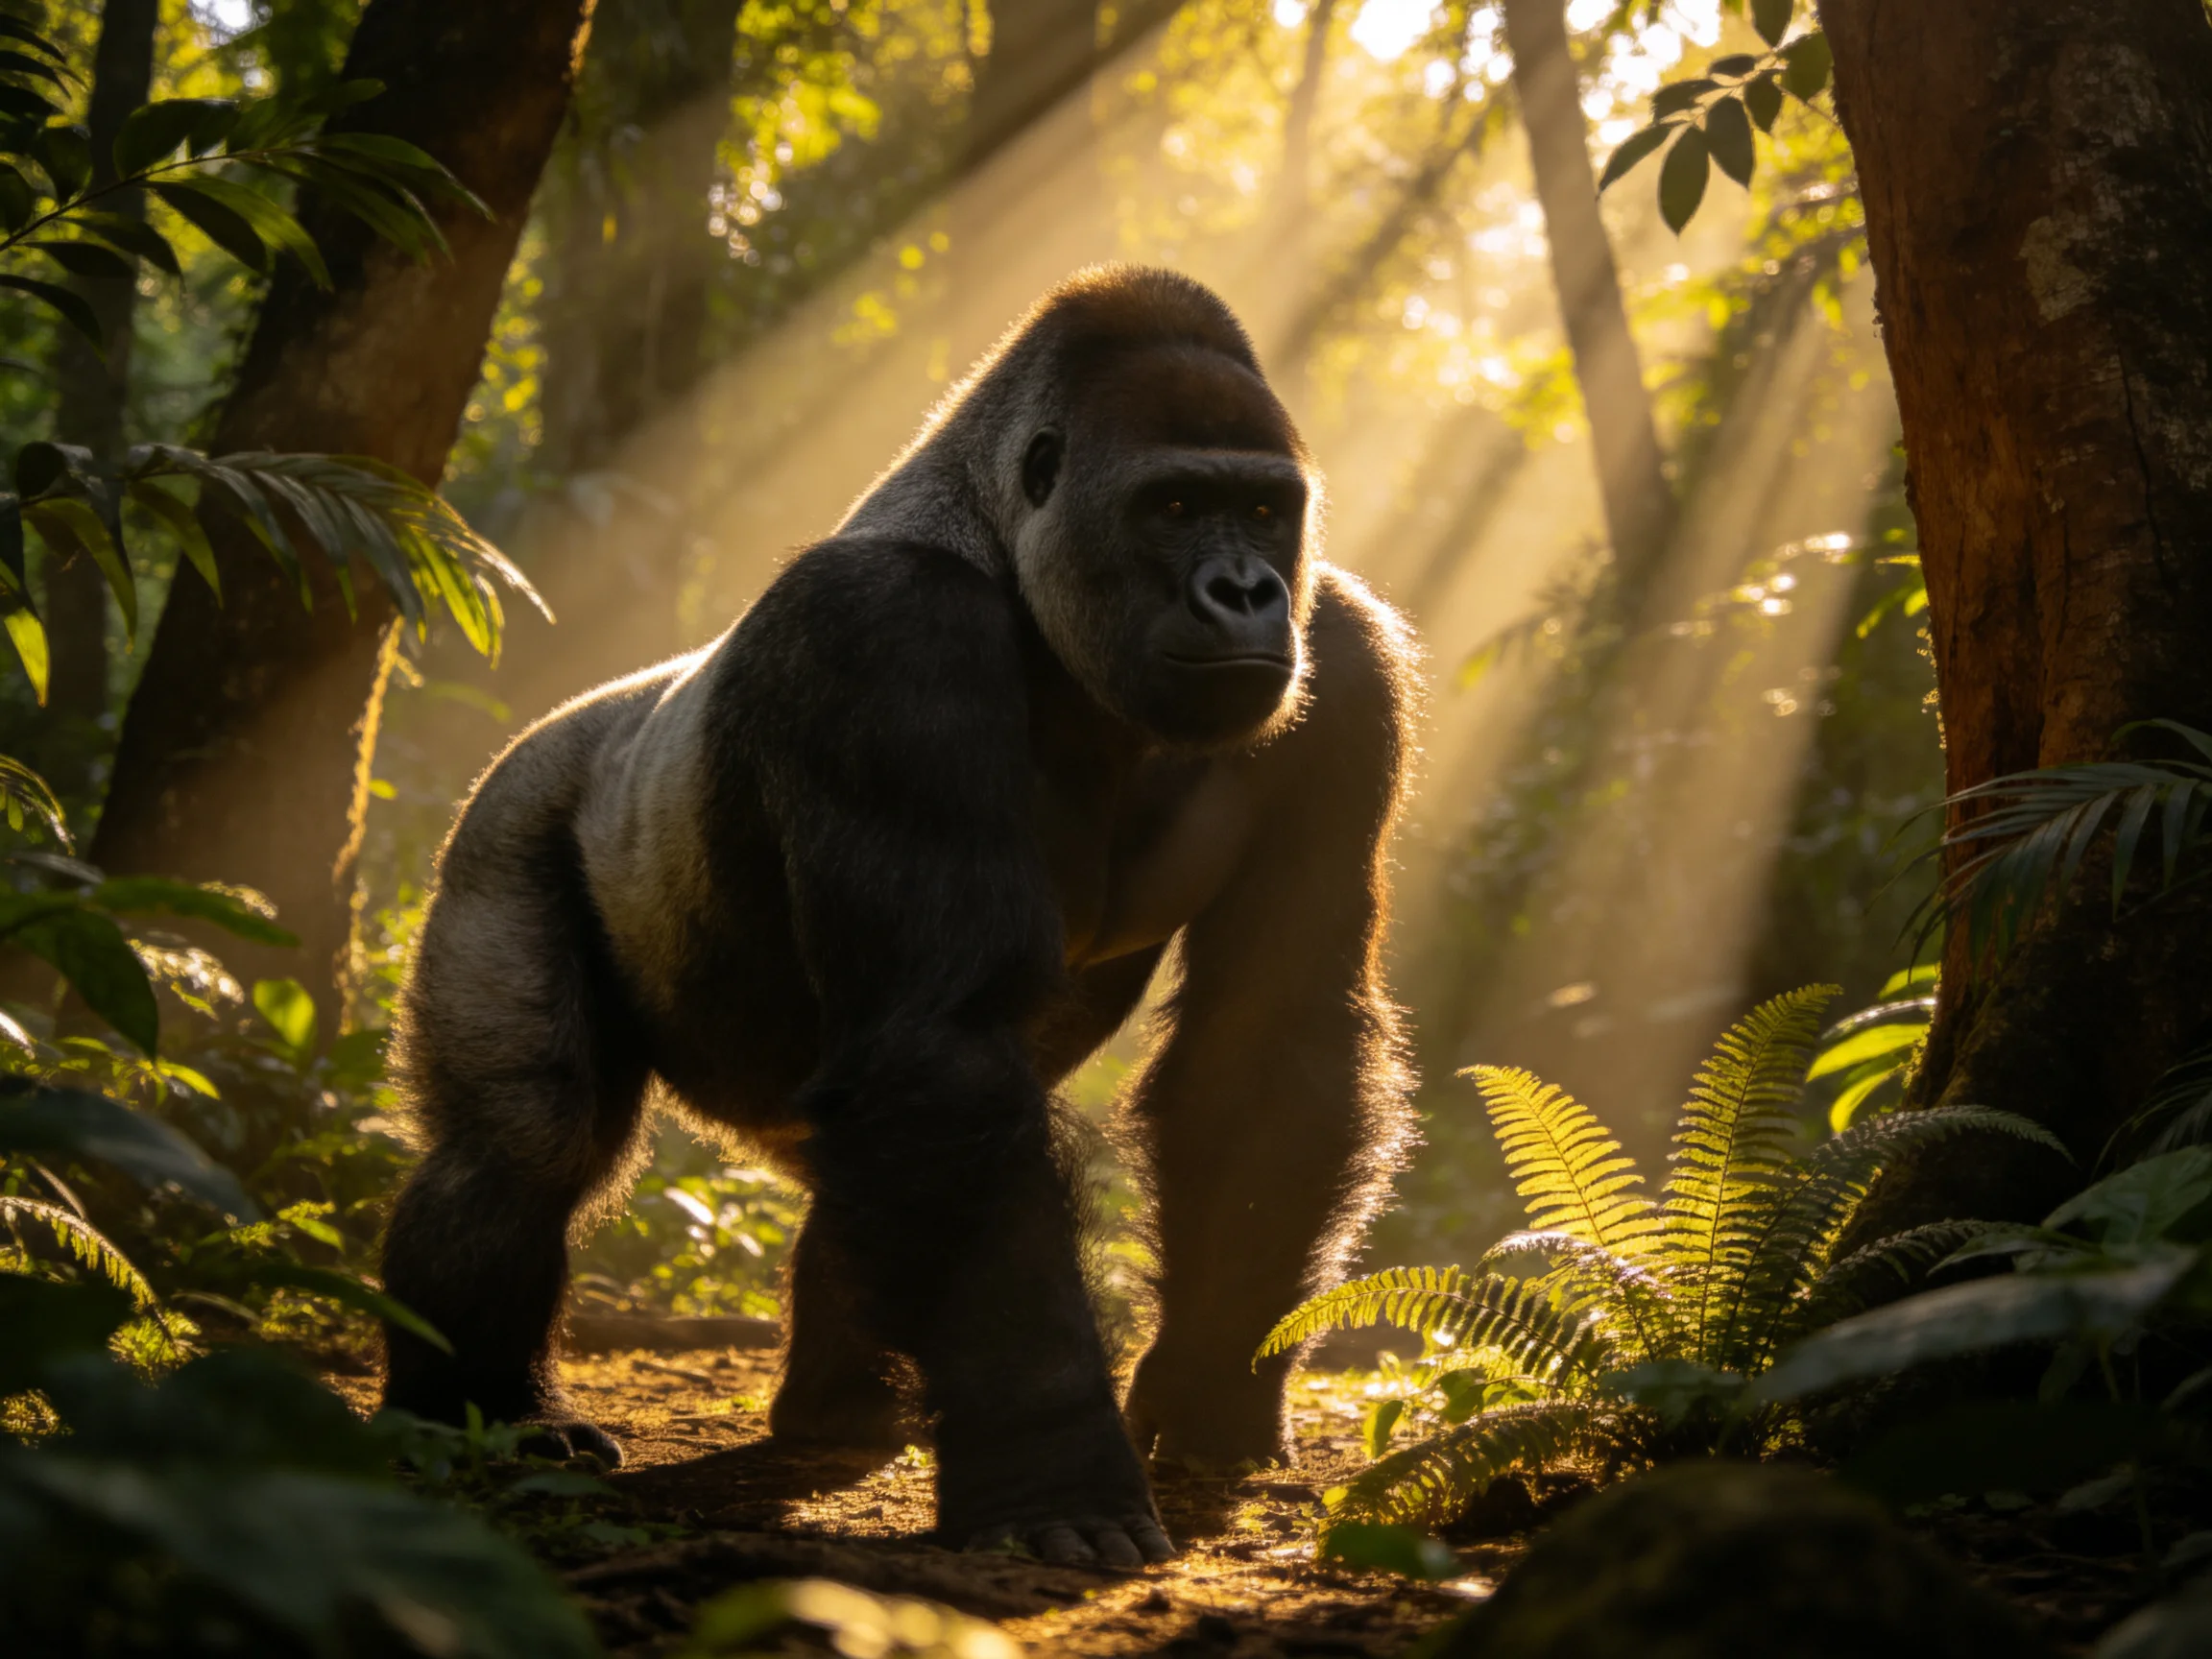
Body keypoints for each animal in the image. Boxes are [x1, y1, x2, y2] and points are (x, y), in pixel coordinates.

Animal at [377, 265, 1418, 1568]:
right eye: (1175, 505)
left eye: (1266, 511)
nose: (1245, 591)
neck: (1013, 560)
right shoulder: (883, 634)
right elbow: (943, 1048)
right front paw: (1054, 1473)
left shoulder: (1346, 660)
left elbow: (1271, 1046)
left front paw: (1208, 1390)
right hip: (508, 821)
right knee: (523, 1140)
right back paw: (472, 1407)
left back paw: (837, 1402)